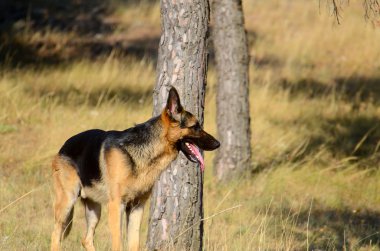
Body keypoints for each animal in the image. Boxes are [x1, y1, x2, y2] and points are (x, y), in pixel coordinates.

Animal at [52, 87, 221, 251]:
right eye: (195, 127)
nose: (218, 144)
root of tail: (63, 147)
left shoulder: (136, 208)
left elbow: (134, 244)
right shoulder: (116, 206)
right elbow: (118, 244)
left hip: (94, 210)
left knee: (86, 239)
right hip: (67, 203)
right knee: (56, 235)